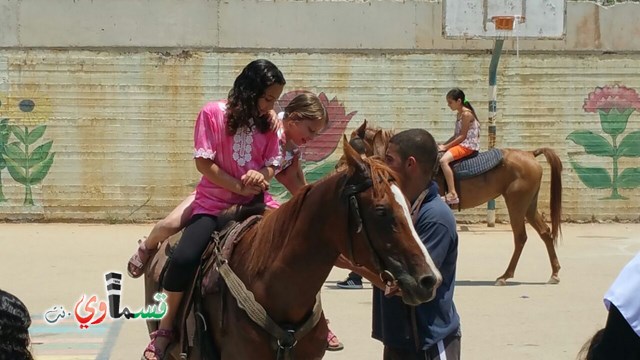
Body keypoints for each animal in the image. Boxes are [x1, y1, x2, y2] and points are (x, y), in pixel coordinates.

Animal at [348, 122, 564, 286]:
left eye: (354, 144)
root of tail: (530, 154)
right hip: (528, 205)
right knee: (545, 232)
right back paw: (554, 273)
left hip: (516, 204)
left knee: (520, 237)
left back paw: (505, 276)